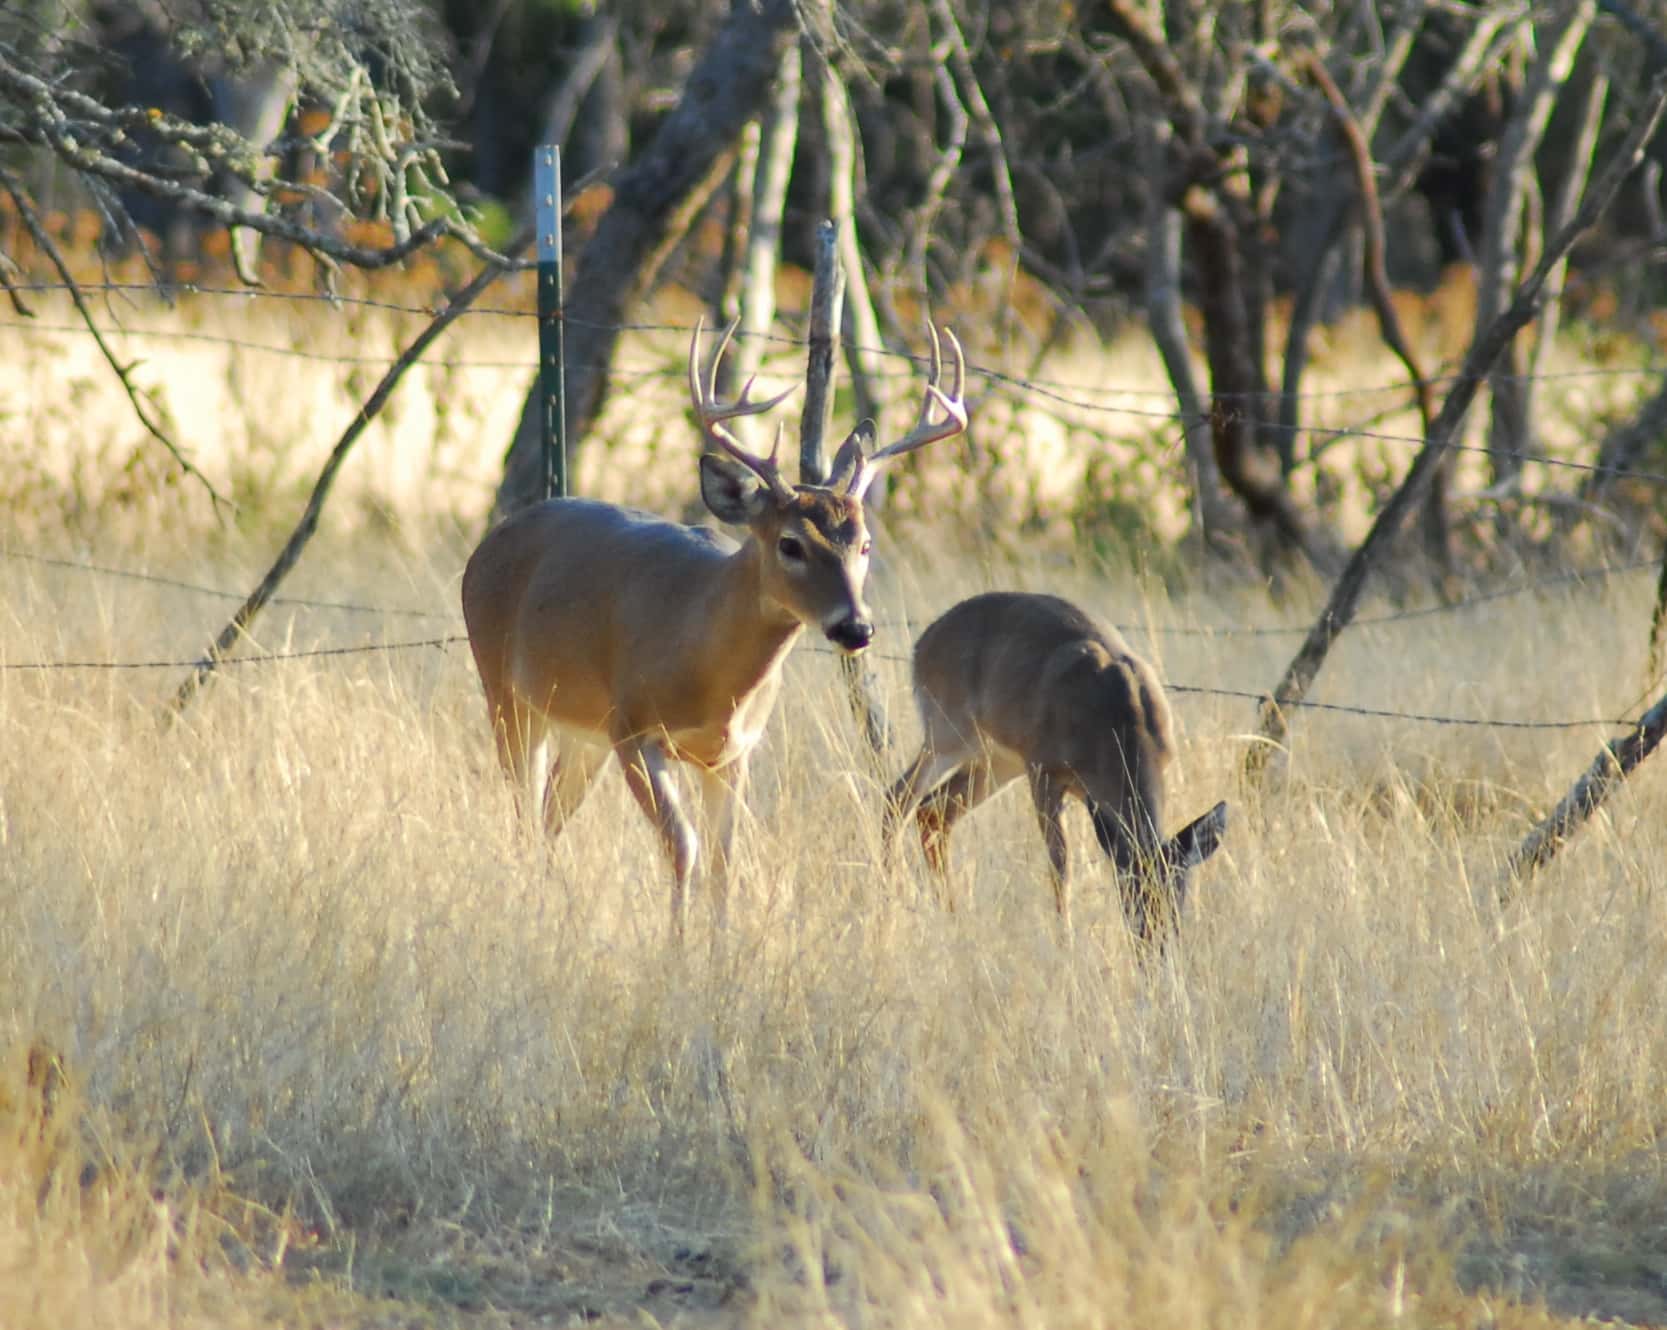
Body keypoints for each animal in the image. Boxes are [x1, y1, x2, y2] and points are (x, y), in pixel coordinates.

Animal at [461, 318, 968, 942]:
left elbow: (725, 861)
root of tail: (488, 544)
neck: (707, 668)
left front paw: (720, 949)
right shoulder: (635, 729)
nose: (856, 627)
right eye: (790, 544)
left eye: (865, 543)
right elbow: (683, 846)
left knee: (550, 815)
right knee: (523, 811)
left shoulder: (732, 753)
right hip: (506, 693)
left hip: (584, 731)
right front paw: (677, 948)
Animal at [881, 592, 1228, 941]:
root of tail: (922, 644)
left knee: (934, 811)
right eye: (1130, 892)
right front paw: (1066, 939)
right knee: (898, 797)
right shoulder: (1043, 770)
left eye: (1179, 896)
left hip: (998, 761)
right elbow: (1061, 865)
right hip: (948, 733)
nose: (1155, 942)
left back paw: (951, 914)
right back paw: (896, 899)